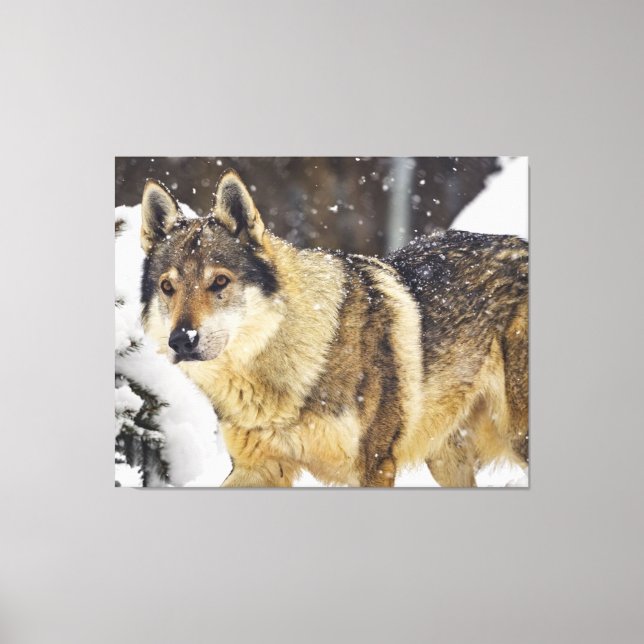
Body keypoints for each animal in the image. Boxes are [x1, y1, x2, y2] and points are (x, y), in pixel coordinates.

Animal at [139, 170, 528, 487]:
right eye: (168, 287)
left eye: (219, 281)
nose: (182, 340)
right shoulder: (257, 468)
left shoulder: (374, 466)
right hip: (446, 459)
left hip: (517, 437)